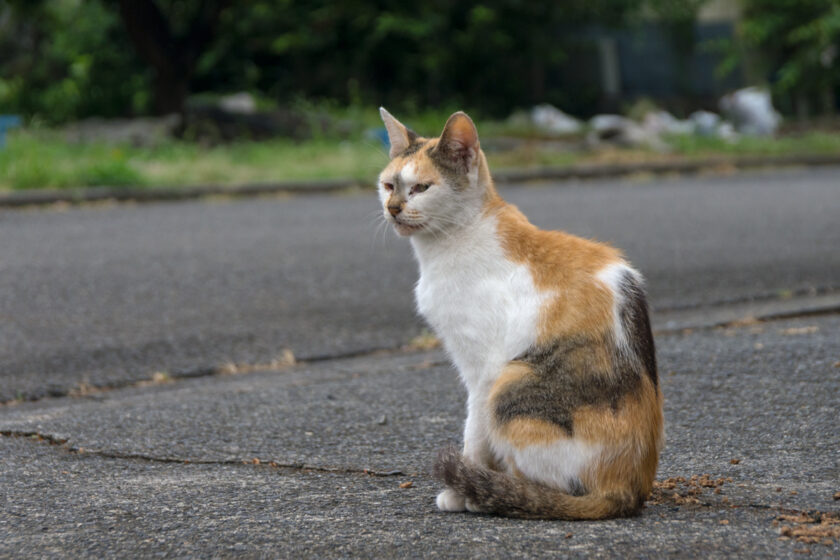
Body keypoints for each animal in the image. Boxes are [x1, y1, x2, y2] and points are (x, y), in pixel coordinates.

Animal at [376, 107, 664, 520]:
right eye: (388, 186)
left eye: (421, 188)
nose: (393, 208)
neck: (453, 240)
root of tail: (629, 490)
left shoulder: (482, 371)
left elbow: (474, 433)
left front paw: (464, 487)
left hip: (509, 382)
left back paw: (503, 493)